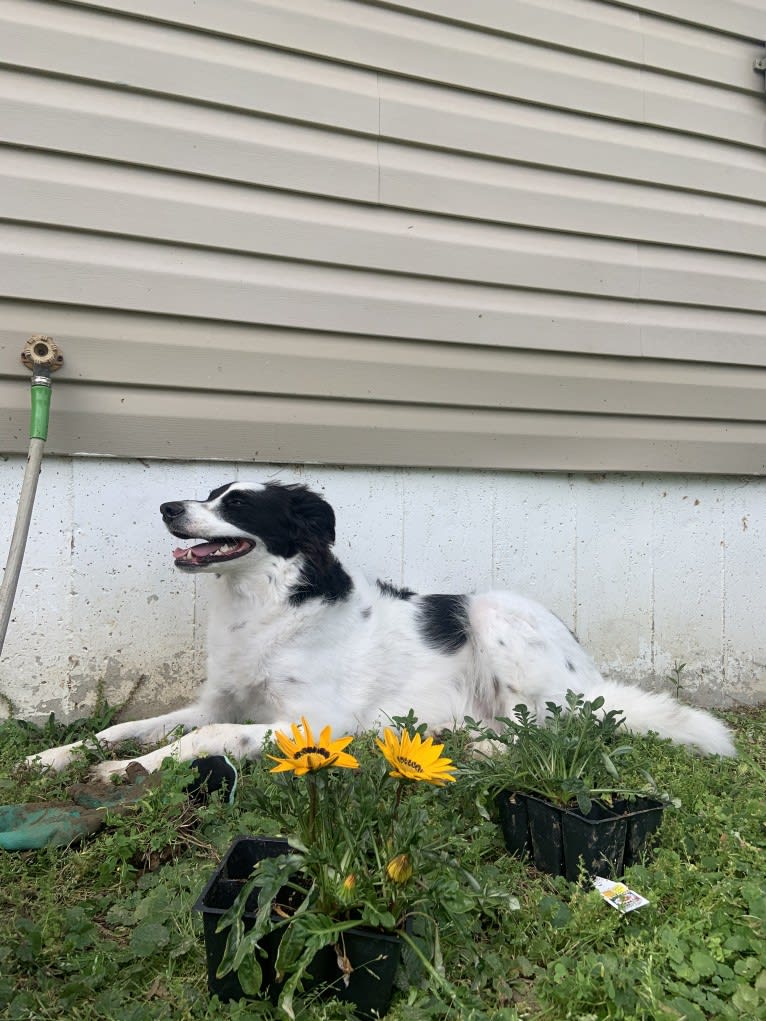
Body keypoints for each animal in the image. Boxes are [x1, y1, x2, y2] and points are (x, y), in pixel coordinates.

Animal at [28, 477, 739, 771]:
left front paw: (126, 772)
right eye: (205, 495)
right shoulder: (217, 700)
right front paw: (59, 755)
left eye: (237, 504)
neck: (269, 604)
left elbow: (205, 740)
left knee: (551, 731)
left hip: (493, 616)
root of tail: (588, 673)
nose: (167, 507)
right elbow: (128, 727)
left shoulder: (315, 722)